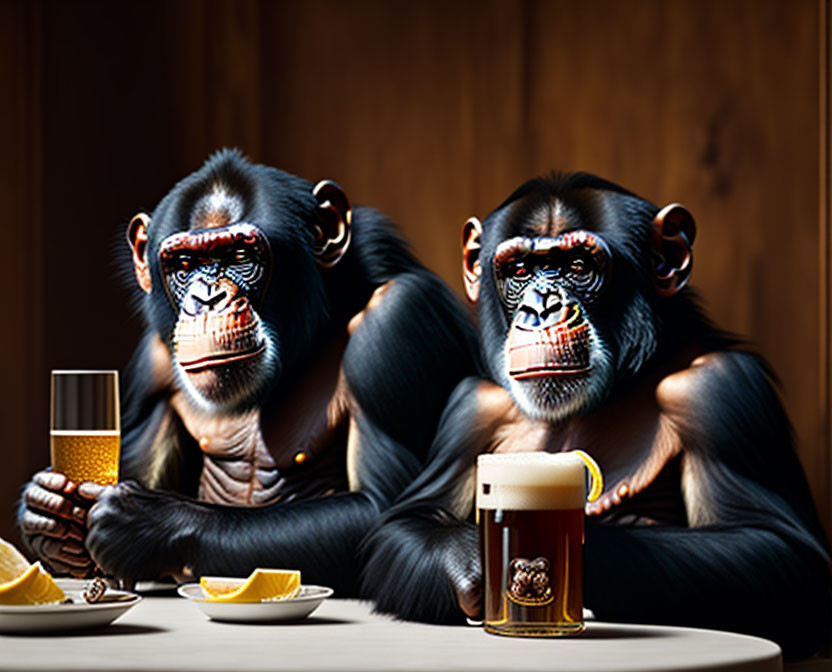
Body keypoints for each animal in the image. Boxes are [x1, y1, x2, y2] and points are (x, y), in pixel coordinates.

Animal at [16, 150, 478, 596]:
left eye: (239, 257)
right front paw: (46, 512)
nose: (207, 297)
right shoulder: (152, 366)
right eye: (184, 264)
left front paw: (145, 523)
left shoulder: (398, 327)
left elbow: (383, 509)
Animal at [364, 172, 832, 656]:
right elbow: (406, 521)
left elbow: (776, 545)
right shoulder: (472, 406)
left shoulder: (721, 391)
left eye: (577, 266)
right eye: (520, 271)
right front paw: (474, 561)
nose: (540, 306)